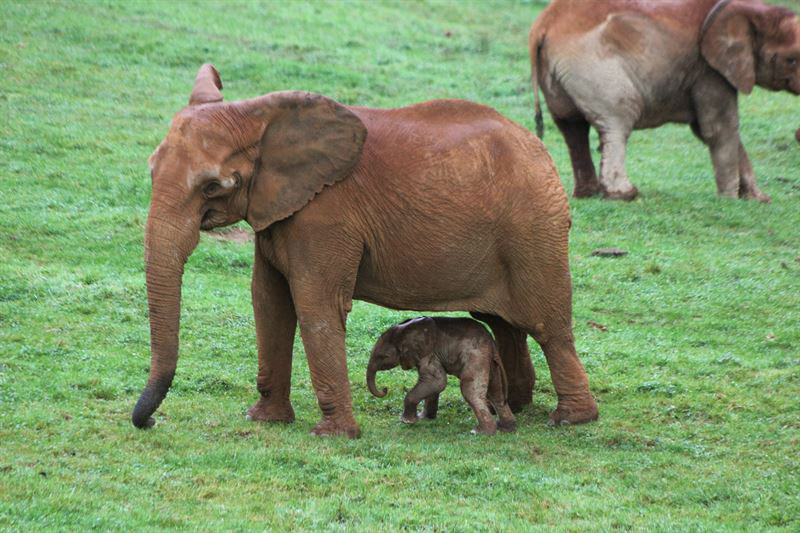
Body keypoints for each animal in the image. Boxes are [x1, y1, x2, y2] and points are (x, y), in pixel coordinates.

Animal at [366, 316, 516, 432]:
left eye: (383, 357)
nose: (385, 389)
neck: (404, 331)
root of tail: (492, 342)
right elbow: (432, 385)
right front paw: (425, 418)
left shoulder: (428, 353)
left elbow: (436, 381)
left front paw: (406, 421)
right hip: (489, 361)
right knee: (496, 392)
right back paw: (506, 428)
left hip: (476, 357)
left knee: (470, 391)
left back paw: (480, 432)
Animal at [532, 0, 800, 202]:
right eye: (791, 60)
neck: (751, 9)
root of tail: (542, 26)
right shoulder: (707, 68)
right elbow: (718, 128)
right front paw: (729, 200)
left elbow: (712, 129)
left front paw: (758, 199)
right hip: (594, 67)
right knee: (617, 120)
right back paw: (625, 195)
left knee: (571, 127)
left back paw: (588, 194)